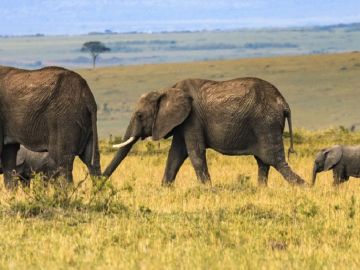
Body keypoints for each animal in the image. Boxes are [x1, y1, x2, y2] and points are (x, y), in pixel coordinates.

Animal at [102, 76, 306, 186]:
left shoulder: (192, 119)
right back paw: (261, 190)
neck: (167, 90)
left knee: (274, 160)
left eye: (139, 115)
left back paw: (305, 187)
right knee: (264, 162)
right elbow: (175, 155)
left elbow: (195, 153)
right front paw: (164, 189)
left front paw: (208, 190)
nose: (98, 184)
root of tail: (284, 103)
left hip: (266, 123)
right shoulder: (182, 122)